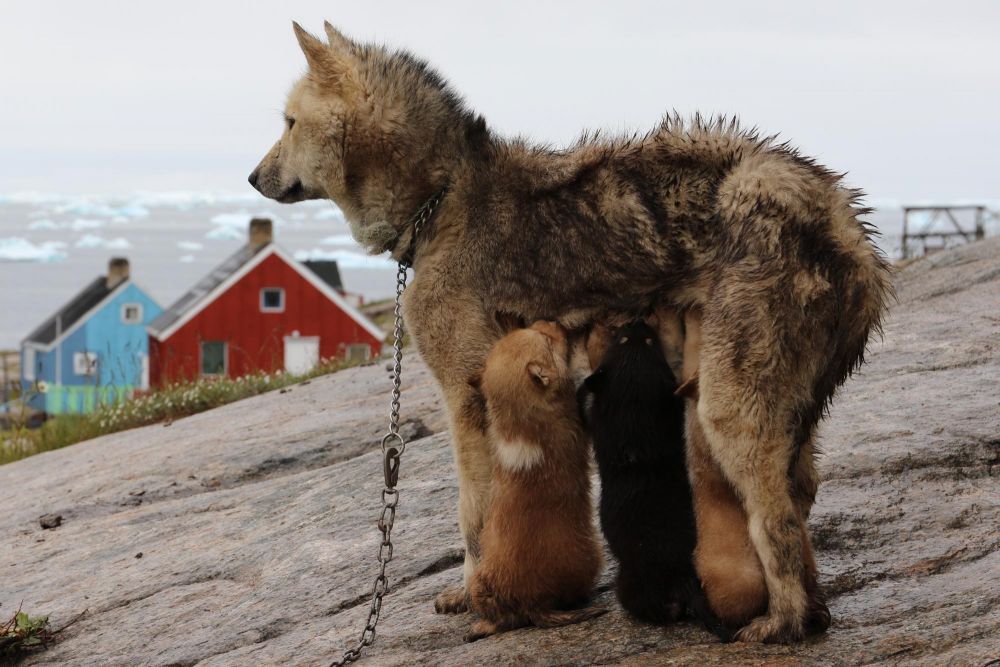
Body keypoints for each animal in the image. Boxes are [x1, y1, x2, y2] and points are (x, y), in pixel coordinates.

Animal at [466, 322, 600, 640]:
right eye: (547, 339)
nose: (552, 323)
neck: (517, 423)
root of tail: (533, 604)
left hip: (480, 583)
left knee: (501, 619)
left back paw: (479, 627)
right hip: (592, 559)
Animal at [580, 320, 728, 644]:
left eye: (648, 340)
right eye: (626, 339)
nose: (636, 321)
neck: (635, 416)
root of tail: (682, 574)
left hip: (629, 586)